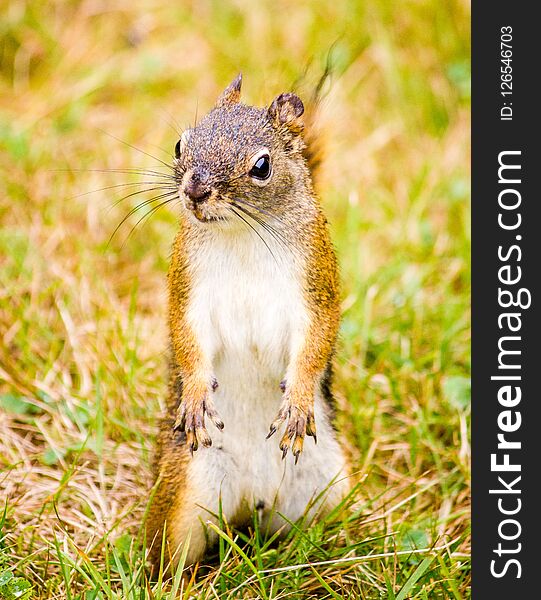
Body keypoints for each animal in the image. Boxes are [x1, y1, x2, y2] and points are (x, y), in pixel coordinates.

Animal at [147, 74, 350, 568]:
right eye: (180, 144)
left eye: (262, 166)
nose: (195, 192)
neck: (242, 233)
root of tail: (249, 502)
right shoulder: (188, 285)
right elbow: (186, 336)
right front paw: (196, 395)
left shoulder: (316, 284)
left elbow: (316, 340)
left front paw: (297, 402)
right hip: (185, 495)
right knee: (172, 554)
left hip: (328, 489)